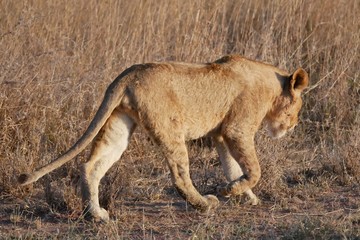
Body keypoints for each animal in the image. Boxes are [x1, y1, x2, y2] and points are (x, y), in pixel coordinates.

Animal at [17, 54, 310, 221]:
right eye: (298, 107)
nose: (293, 126)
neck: (271, 85)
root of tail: (130, 73)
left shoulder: (221, 135)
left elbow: (233, 168)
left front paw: (245, 196)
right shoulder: (236, 129)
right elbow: (254, 169)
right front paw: (229, 191)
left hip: (120, 125)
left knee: (91, 166)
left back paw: (97, 215)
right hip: (170, 128)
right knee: (180, 177)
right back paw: (205, 204)